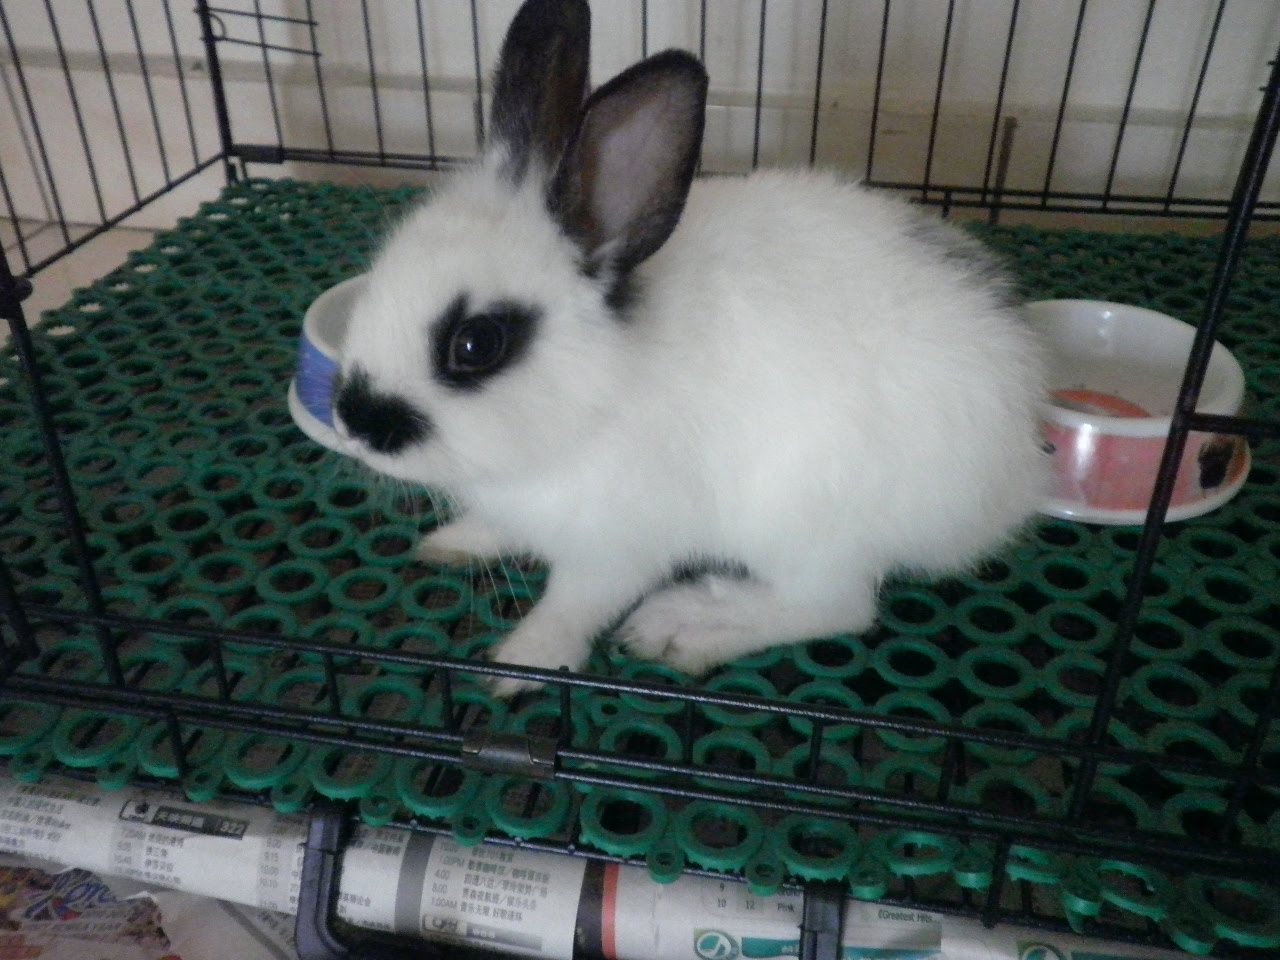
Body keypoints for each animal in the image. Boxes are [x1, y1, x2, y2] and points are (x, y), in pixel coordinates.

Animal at [331, 0, 1048, 694]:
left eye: (476, 343)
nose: (354, 422)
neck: (594, 394)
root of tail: (1009, 479)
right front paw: (452, 542)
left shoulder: (617, 544)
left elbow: (574, 605)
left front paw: (521, 664)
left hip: (802, 522)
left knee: (837, 606)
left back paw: (688, 626)